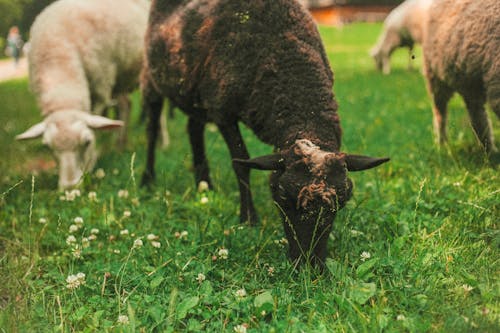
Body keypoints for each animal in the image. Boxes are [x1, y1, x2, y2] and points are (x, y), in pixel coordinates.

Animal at [16, 0, 151, 188]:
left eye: (86, 142)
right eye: (47, 147)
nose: (70, 187)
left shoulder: (100, 88)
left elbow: (96, 125)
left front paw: (92, 161)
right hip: (119, 79)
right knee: (125, 106)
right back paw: (119, 146)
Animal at [143, 0, 388, 264]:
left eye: (342, 201)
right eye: (281, 194)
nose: (309, 264)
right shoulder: (223, 111)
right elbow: (241, 162)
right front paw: (248, 218)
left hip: (193, 93)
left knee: (194, 129)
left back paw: (204, 185)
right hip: (151, 79)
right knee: (152, 129)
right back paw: (147, 179)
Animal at [422, 0, 500, 153]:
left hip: (470, 83)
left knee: (476, 116)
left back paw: (488, 149)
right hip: (435, 78)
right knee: (440, 113)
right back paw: (442, 145)